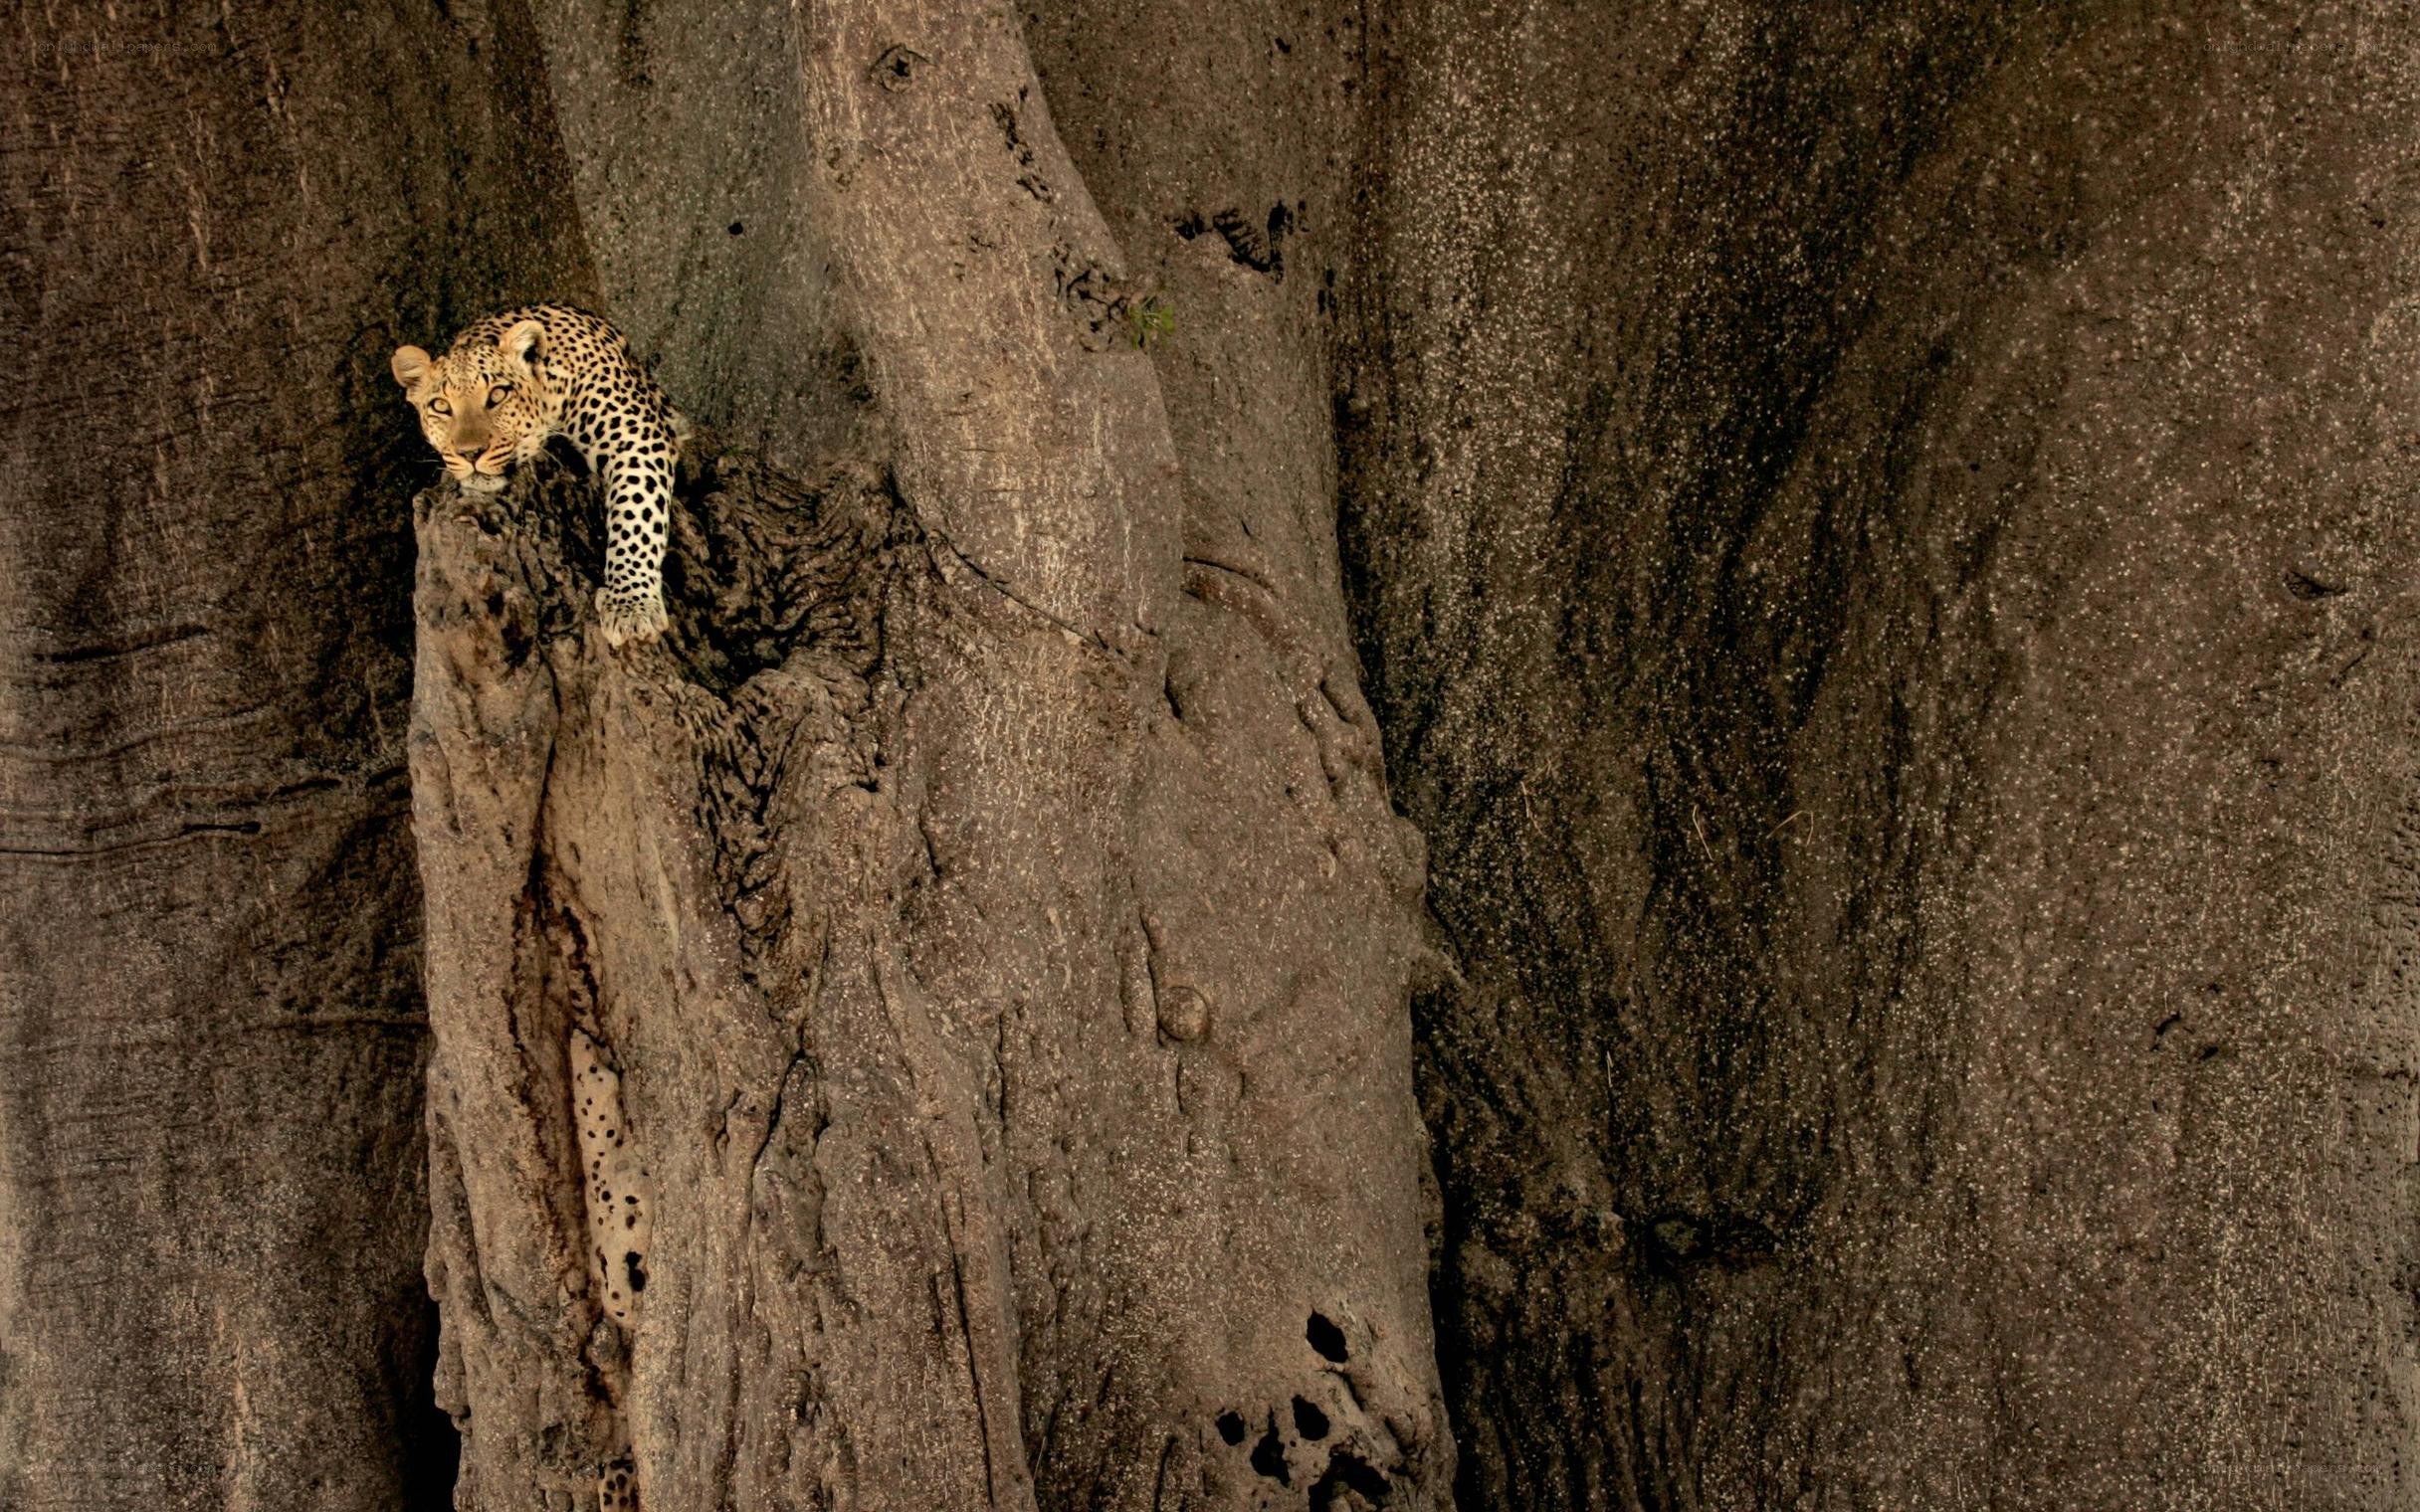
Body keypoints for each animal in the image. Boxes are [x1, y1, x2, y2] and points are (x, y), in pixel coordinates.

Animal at [392, 304, 688, 647]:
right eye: (441, 406)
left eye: (497, 395)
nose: (470, 453)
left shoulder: (637, 438)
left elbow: (636, 517)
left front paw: (631, 605)